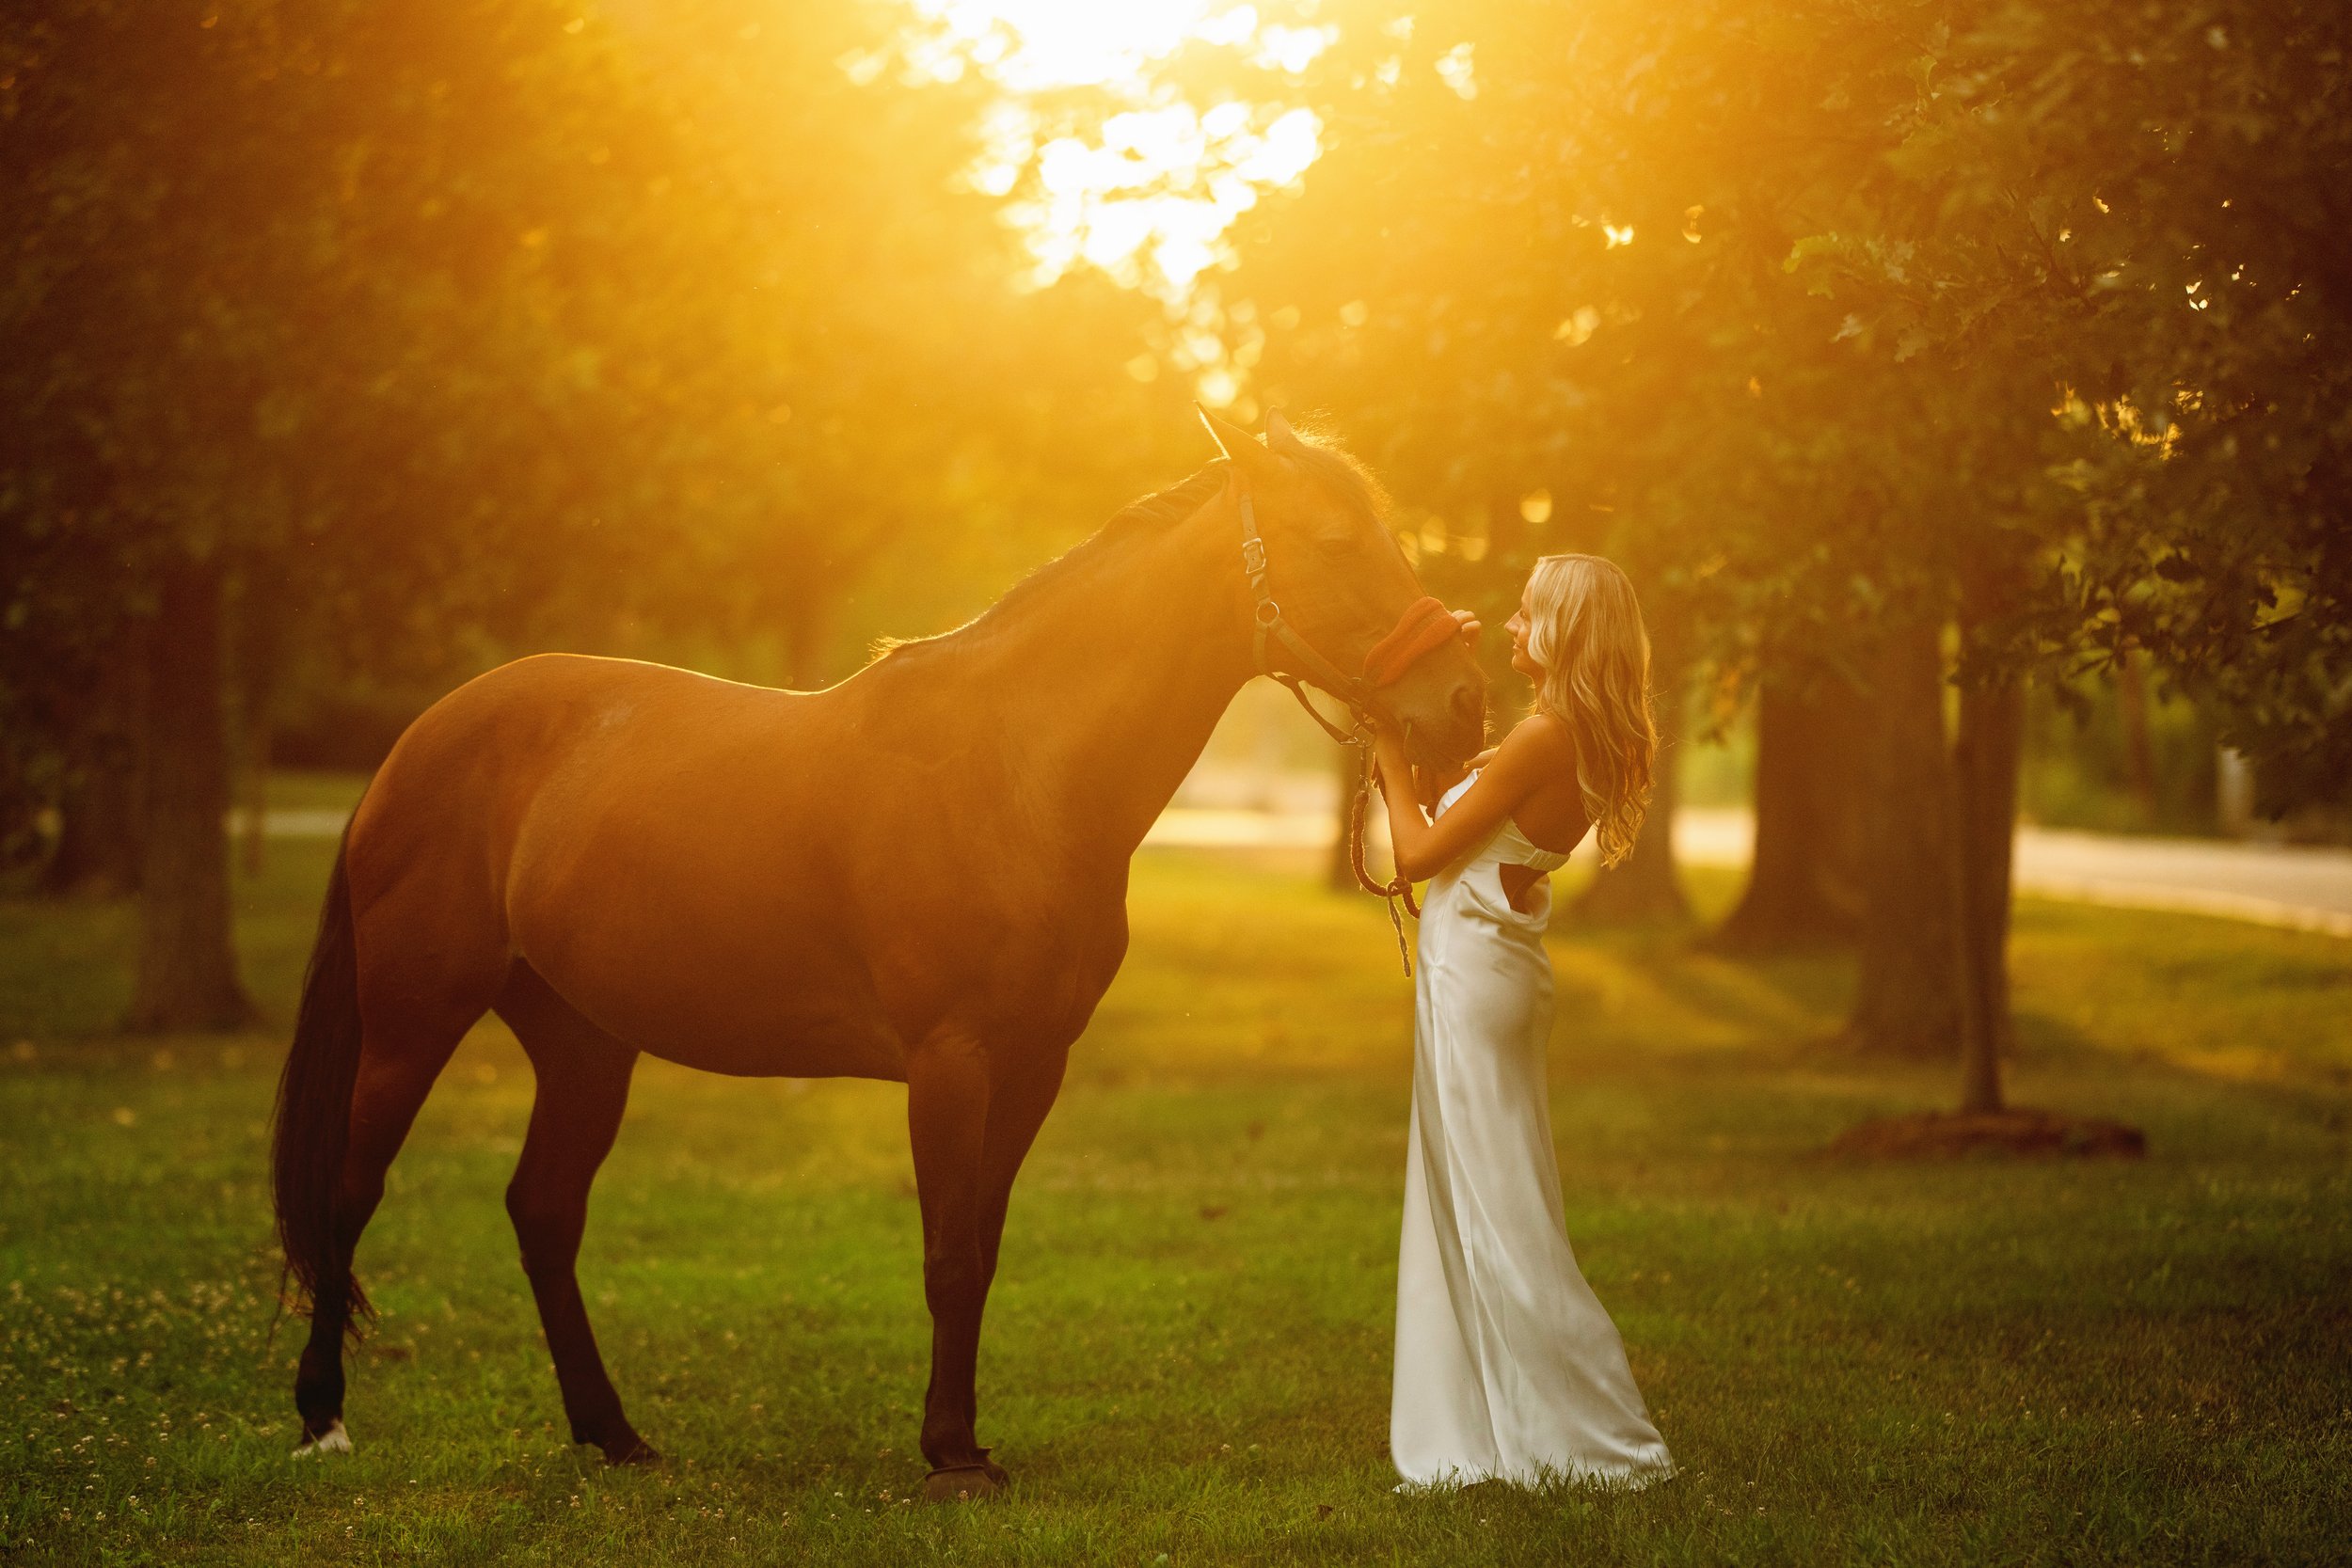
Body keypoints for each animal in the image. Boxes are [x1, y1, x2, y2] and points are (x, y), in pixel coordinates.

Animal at [269, 408, 1487, 1499]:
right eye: (1332, 539)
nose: (1463, 705)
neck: (1016, 773)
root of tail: (416, 742)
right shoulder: (949, 1062)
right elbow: (947, 1253)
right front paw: (949, 1454)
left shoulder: (1032, 1067)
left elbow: (980, 1248)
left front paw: (967, 1436)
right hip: (414, 1021)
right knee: (351, 1191)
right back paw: (323, 1415)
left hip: (584, 1046)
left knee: (543, 1212)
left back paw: (612, 1433)